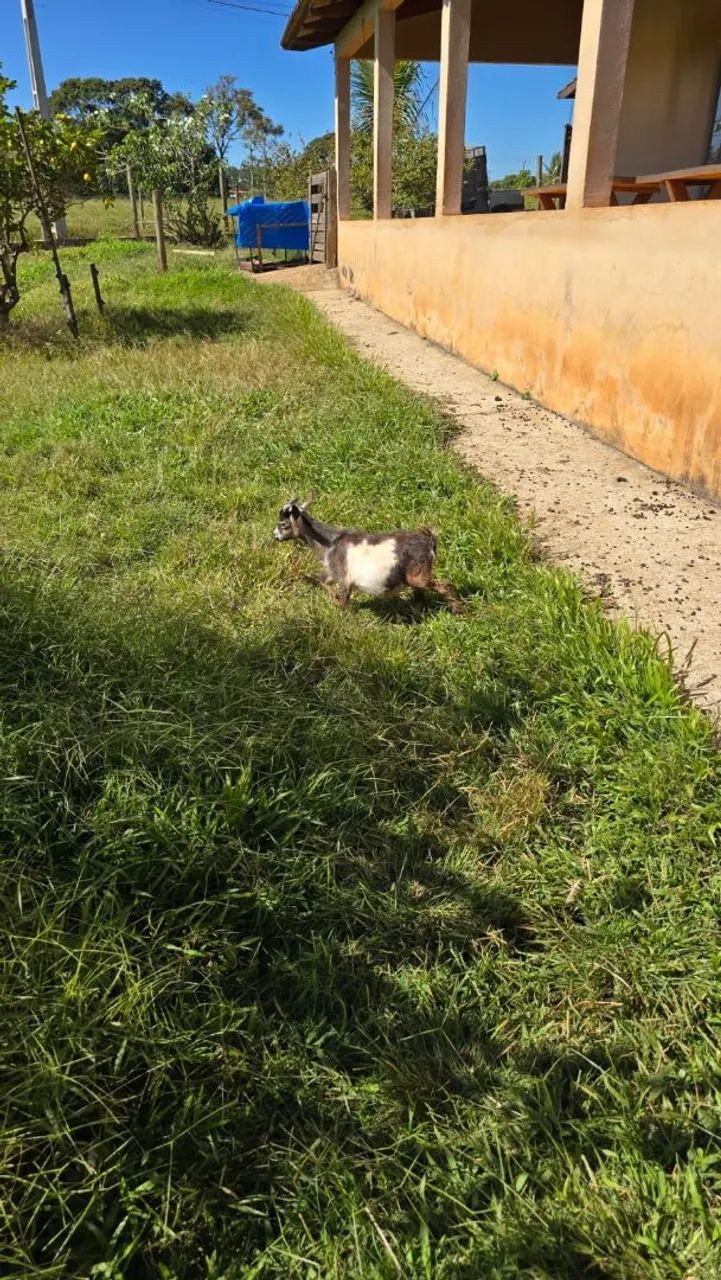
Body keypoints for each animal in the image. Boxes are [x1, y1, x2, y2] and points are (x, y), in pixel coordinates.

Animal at [273, 493, 462, 613]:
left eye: (284, 524)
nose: (275, 536)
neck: (330, 542)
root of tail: (429, 541)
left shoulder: (344, 578)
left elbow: (343, 600)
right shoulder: (331, 572)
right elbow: (323, 581)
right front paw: (334, 599)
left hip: (418, 575)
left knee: (445, 586)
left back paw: (458, 611)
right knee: (420, 596)